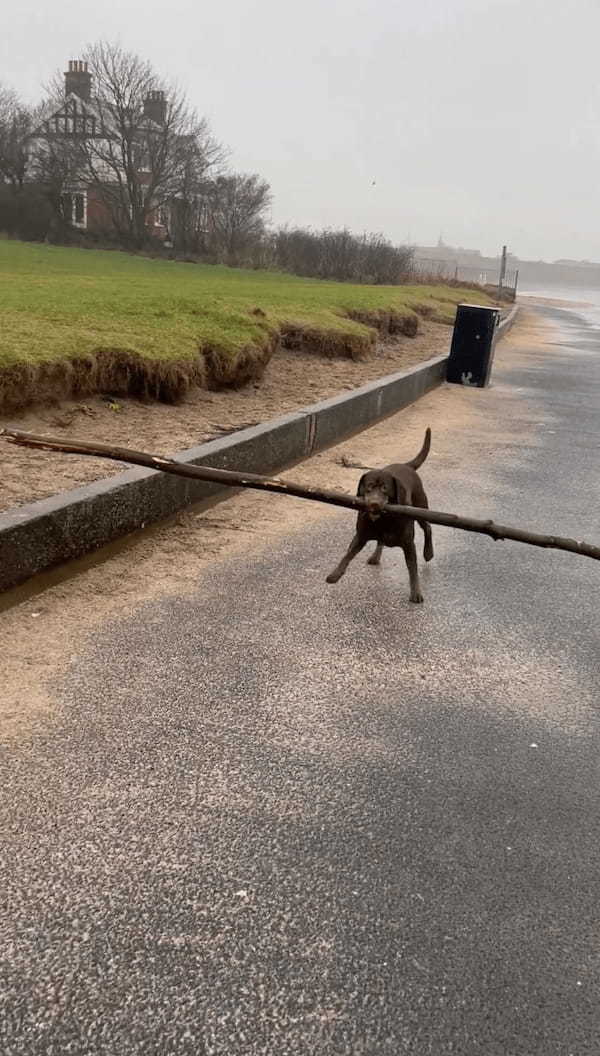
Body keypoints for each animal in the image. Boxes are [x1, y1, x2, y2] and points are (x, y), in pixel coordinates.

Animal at [325, 426, 433, 604]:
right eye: (368, 487)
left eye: (385, 488)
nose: (374, 503)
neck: (383, 520)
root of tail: (407, 466)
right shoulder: (360, 536)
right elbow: (347, 555)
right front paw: (335, 574)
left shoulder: (409, 545)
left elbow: (413, 569)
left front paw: (416, 592)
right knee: (380, 541)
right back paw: (376, 556)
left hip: (420, 507)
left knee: (428, 527)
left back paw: (429, 552)